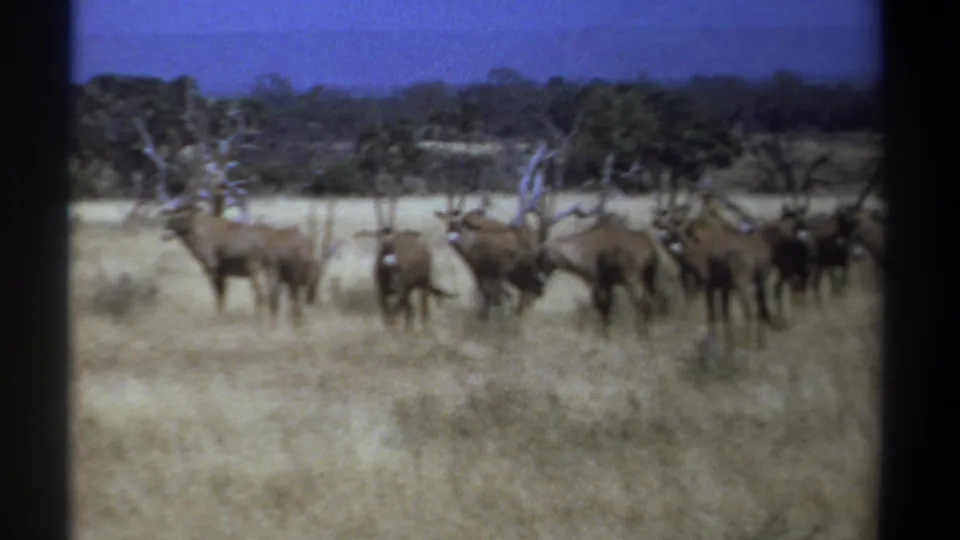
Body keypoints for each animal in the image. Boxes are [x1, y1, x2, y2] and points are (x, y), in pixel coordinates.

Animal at [356, 182, 457, 330]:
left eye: (393, 240)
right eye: (380, 240)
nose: (390, 260)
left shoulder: (400, 293)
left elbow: (395, 316)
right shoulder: (383, 295)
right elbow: (389, 317)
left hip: (422, 284)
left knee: (422, 309)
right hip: (409, 290)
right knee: (411, 311)